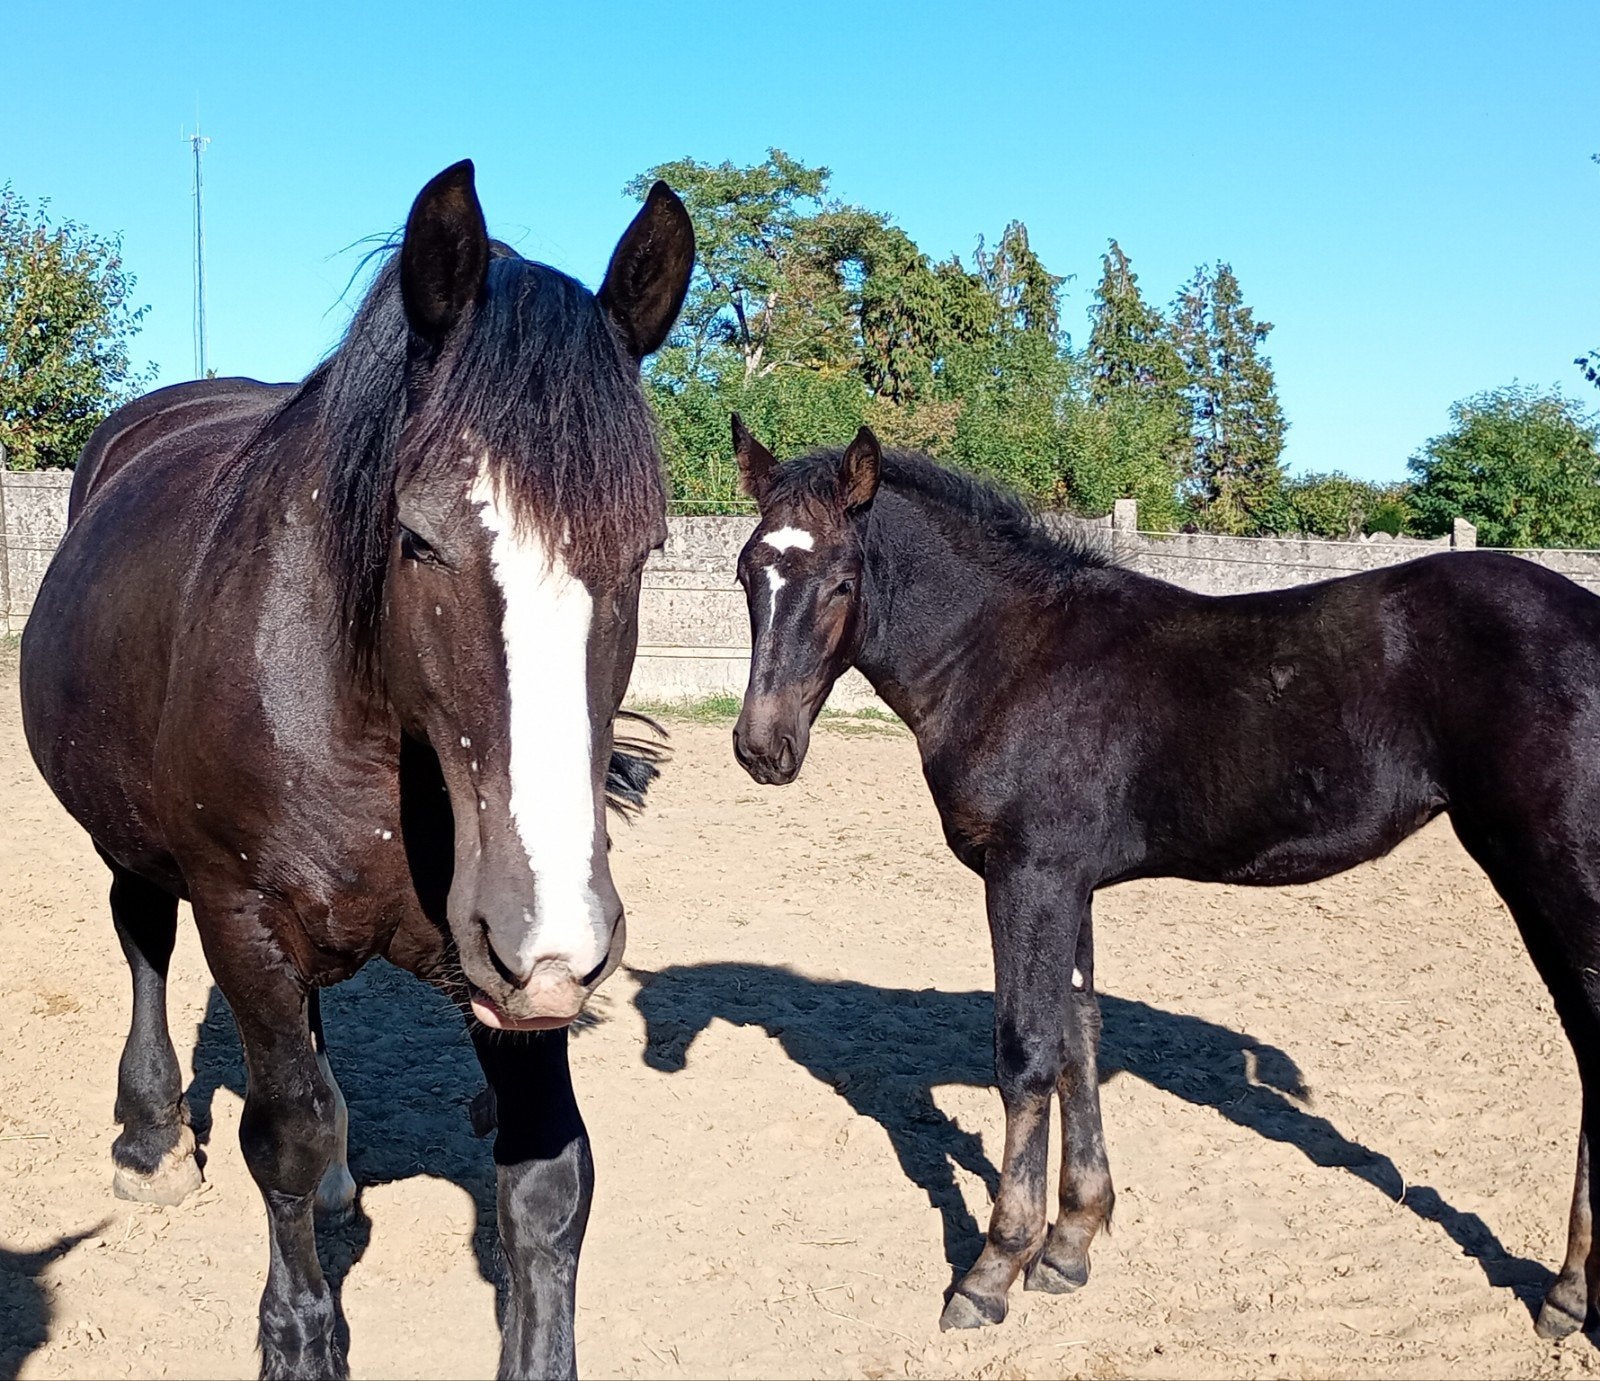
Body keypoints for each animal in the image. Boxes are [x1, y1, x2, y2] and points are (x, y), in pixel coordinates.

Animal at [19, 160, 693, 1380]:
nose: (557, 939)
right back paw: (149, 1137)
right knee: (143, 940)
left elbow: (546, 1180)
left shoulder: (502, 968)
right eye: (418, 539)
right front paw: (297, 1336)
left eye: (645, 549)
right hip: (135, 845)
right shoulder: (243, 914)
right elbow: (281, 1133)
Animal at [726, 416, 1600, 1341]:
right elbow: (1077, 1037)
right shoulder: (1069, 881)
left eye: (841, 581)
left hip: (1553, 873)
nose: (762, 747)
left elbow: (1025, 1054)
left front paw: (993, 1269)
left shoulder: (1028, 874)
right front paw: (1069, 1245)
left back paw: (1565, 1294)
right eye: (747, 571)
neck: (1007, 655)